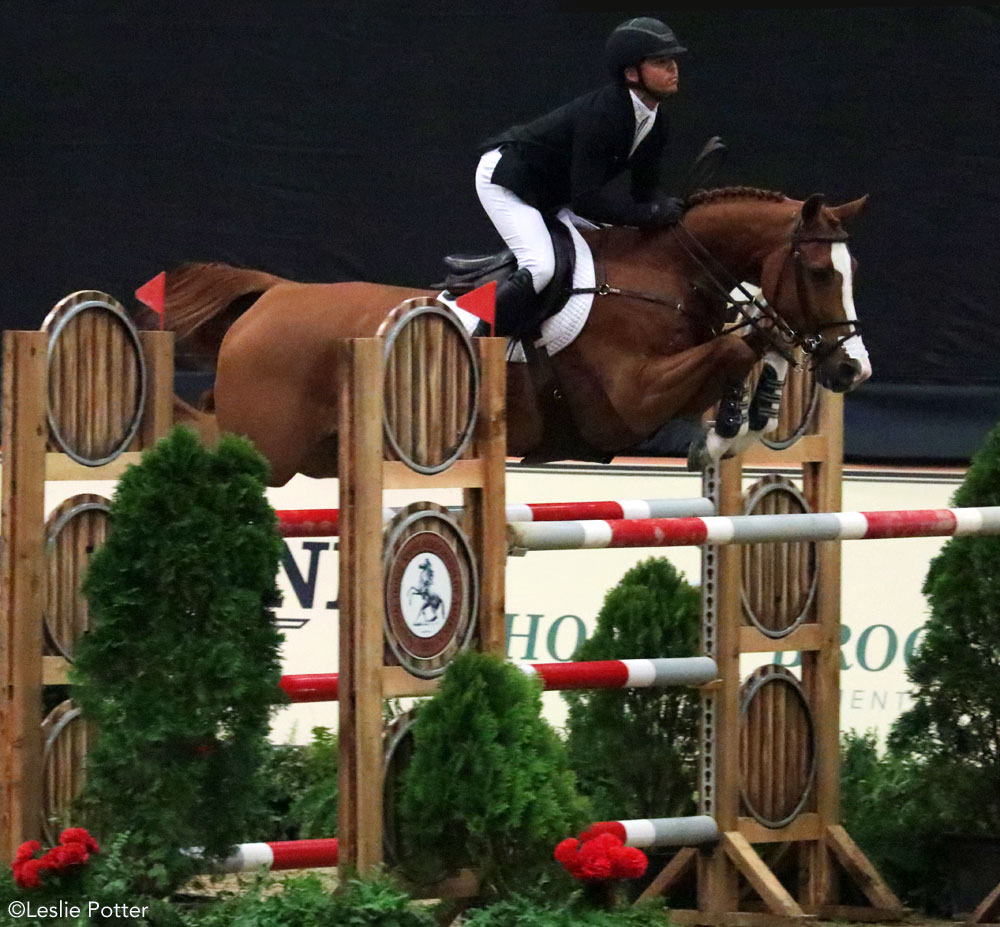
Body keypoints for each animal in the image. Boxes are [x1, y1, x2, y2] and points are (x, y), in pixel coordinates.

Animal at [139, 183, 868, 486]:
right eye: (816, 271)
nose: (851, 370)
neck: (662, 273)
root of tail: (275, 294)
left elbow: (748, 347)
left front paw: (743, 421)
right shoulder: (627, 405)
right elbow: (734, 344)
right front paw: (723, 436)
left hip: (317, 453)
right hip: (271, 448)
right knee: (202, 432)